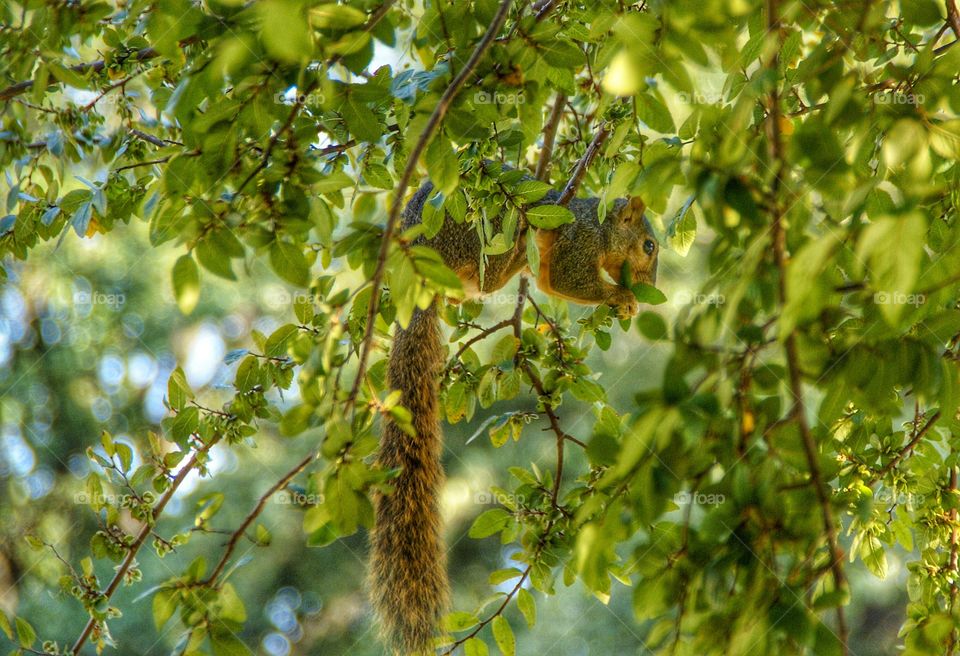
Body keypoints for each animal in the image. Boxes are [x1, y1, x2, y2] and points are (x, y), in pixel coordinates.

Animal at [368, 162, 659, 655]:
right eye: (649, 245)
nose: (652, 288)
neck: (600, 227)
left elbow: (548, 282)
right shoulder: (576, 244)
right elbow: (569, 279)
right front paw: (622, 298)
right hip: (476, 232)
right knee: (491, 275)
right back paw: (508, 258)